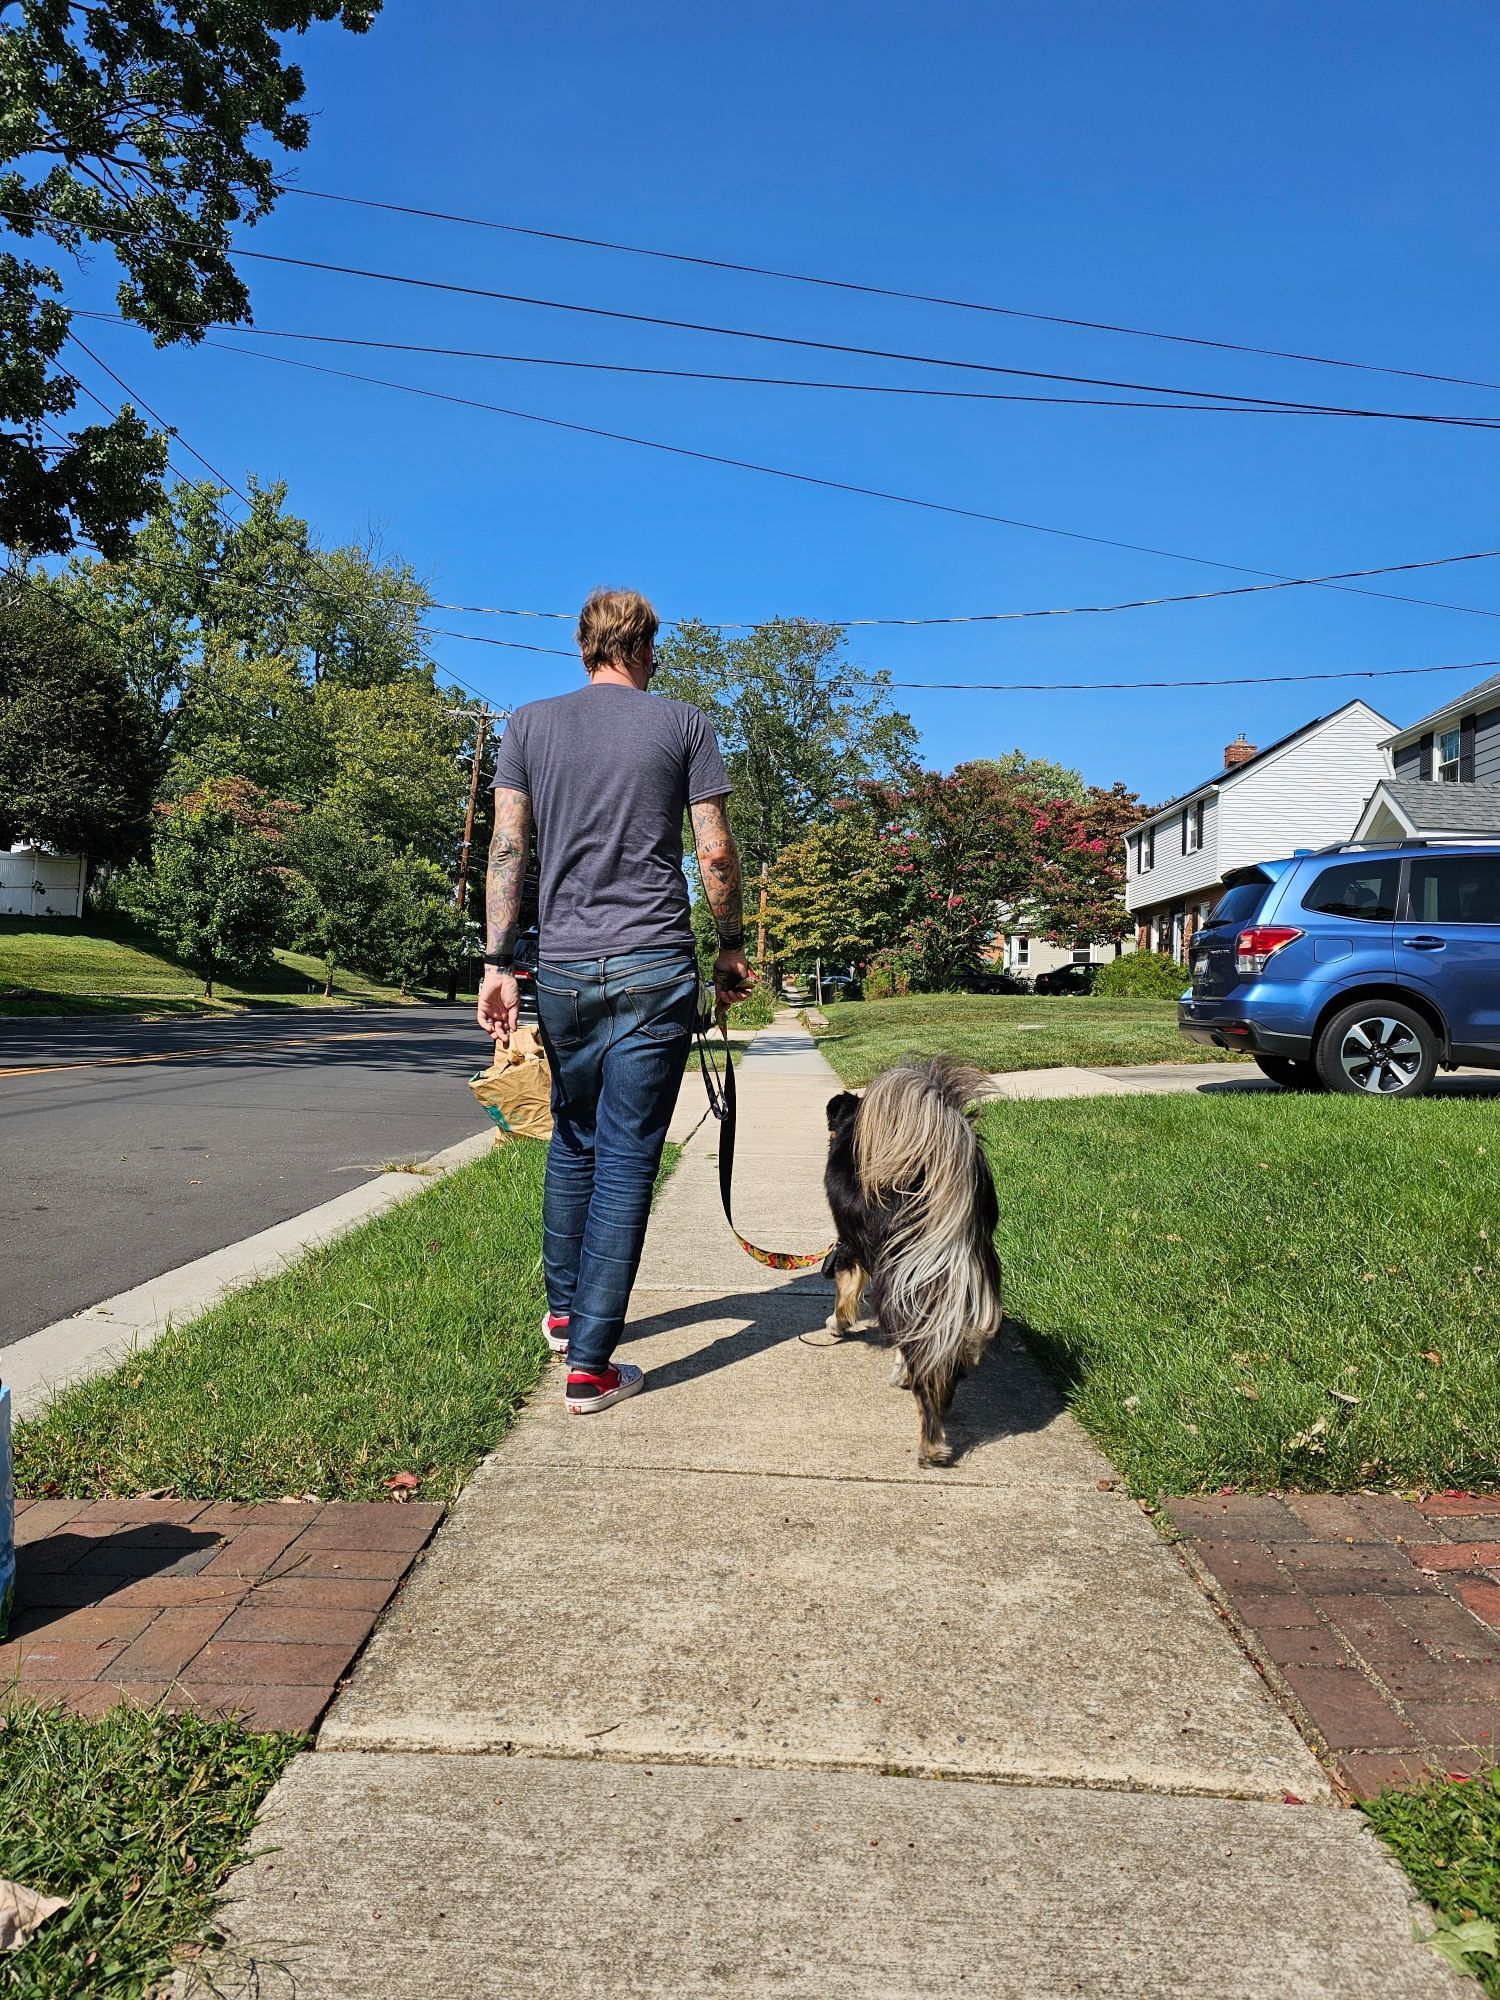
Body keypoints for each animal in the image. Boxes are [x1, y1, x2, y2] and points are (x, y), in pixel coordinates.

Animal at [828, 1048, 1004, 1472]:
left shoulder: (850, 1246)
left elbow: (845, 1288)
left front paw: (838, 1323)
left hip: (906, 1272)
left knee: (925, 1363)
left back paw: (931, 1445)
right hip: (955, 1280)